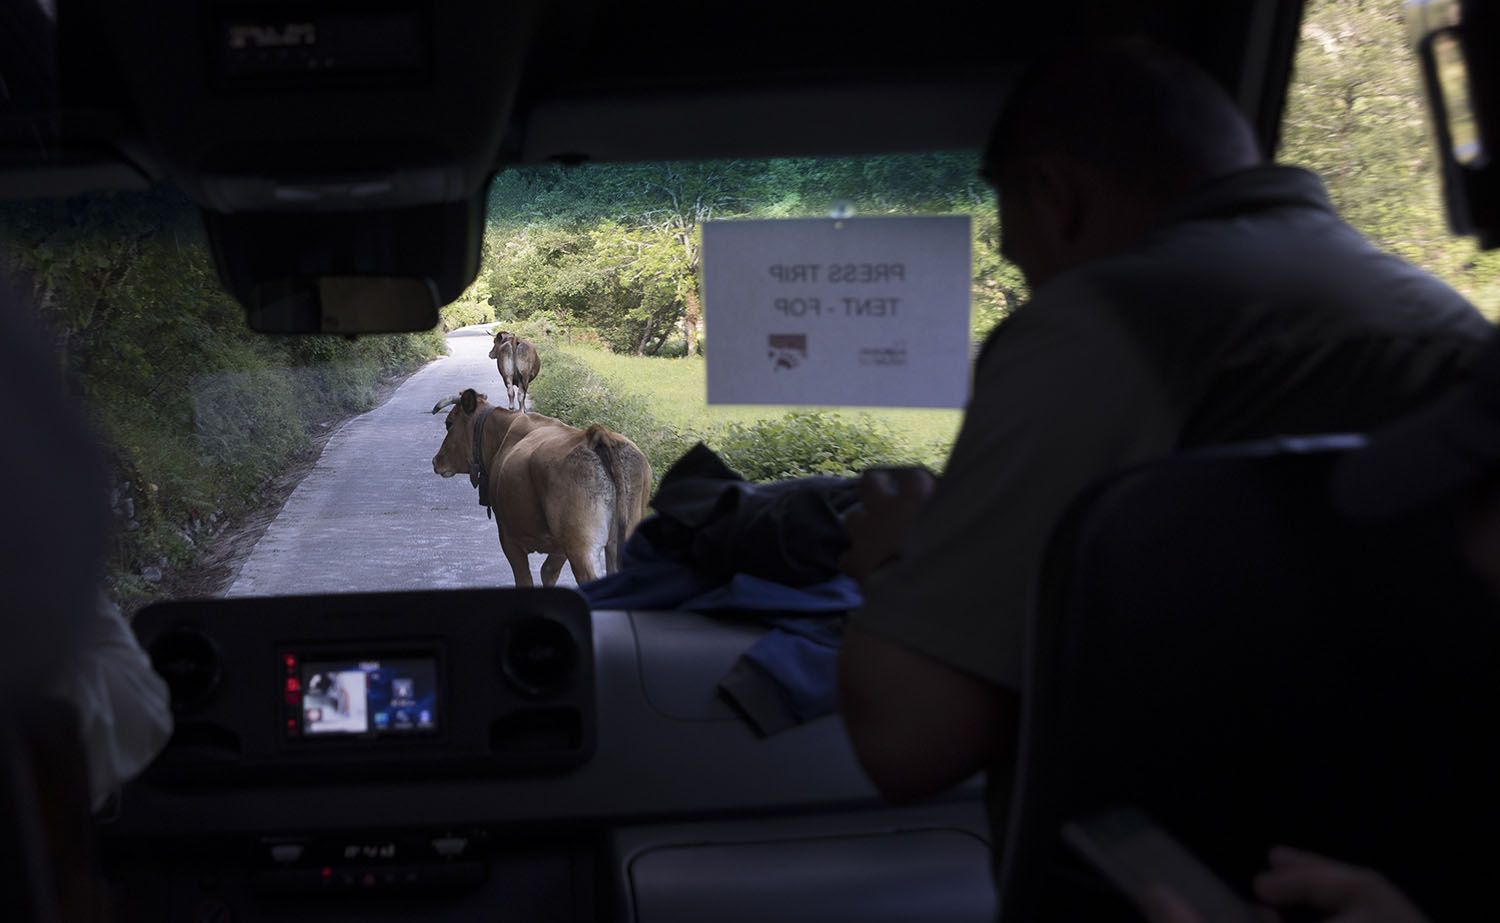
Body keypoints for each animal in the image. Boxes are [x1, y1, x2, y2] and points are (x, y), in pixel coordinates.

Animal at [429, 390, 651, 585]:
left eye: (449, 423)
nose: (436, 461)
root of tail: (595, 435)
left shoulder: (509, 538)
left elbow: (525, 579)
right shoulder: (559, 547)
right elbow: (548, 572)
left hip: (582, 548)